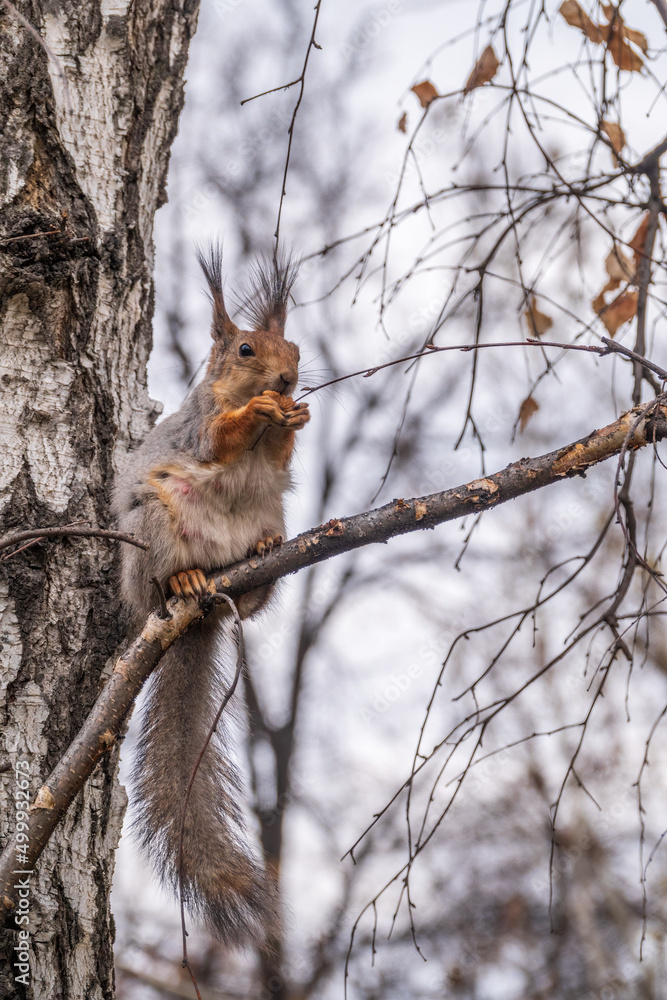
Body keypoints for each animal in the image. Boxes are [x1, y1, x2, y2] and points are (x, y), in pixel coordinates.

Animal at [112, 244, 310, 949]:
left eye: (296, 348)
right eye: (246, 350)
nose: (287, 382)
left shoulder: (275, 465)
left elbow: (278, 457)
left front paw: (295, 418)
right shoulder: (199, 429)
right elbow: (219, 439)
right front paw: (254, 415)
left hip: (270, 520)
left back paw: (259, 558)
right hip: (156, 524)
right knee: (169, 571)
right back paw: (184, 581)